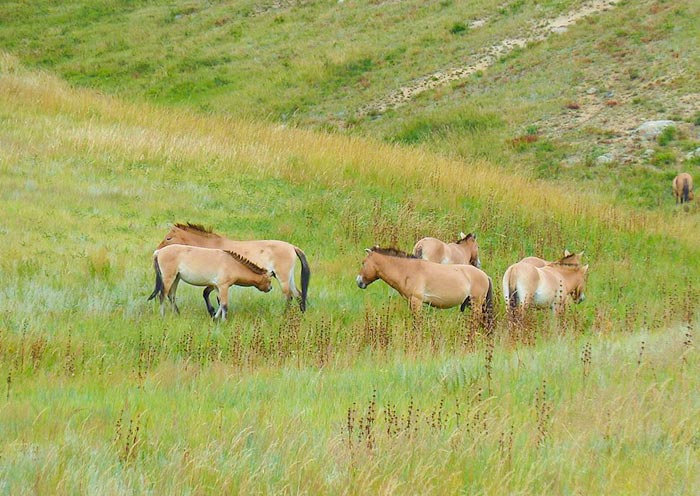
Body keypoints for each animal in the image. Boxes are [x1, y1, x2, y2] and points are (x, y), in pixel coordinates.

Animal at [157, 223, 310, 312]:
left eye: (169, 238)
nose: (158, 250)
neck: (212, 247)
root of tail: (292, 247)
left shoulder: (216, 281)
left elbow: (211, 295)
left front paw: (213, 312)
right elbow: (208, 294)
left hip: (282, 278)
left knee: (289, 296)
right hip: (288, 278)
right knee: (298, 294)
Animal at [356, 246, 493, 328]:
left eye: (363, 263)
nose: (358, 281)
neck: (408, 270)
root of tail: (485, 276)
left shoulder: (417, 302)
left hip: (476, 304)